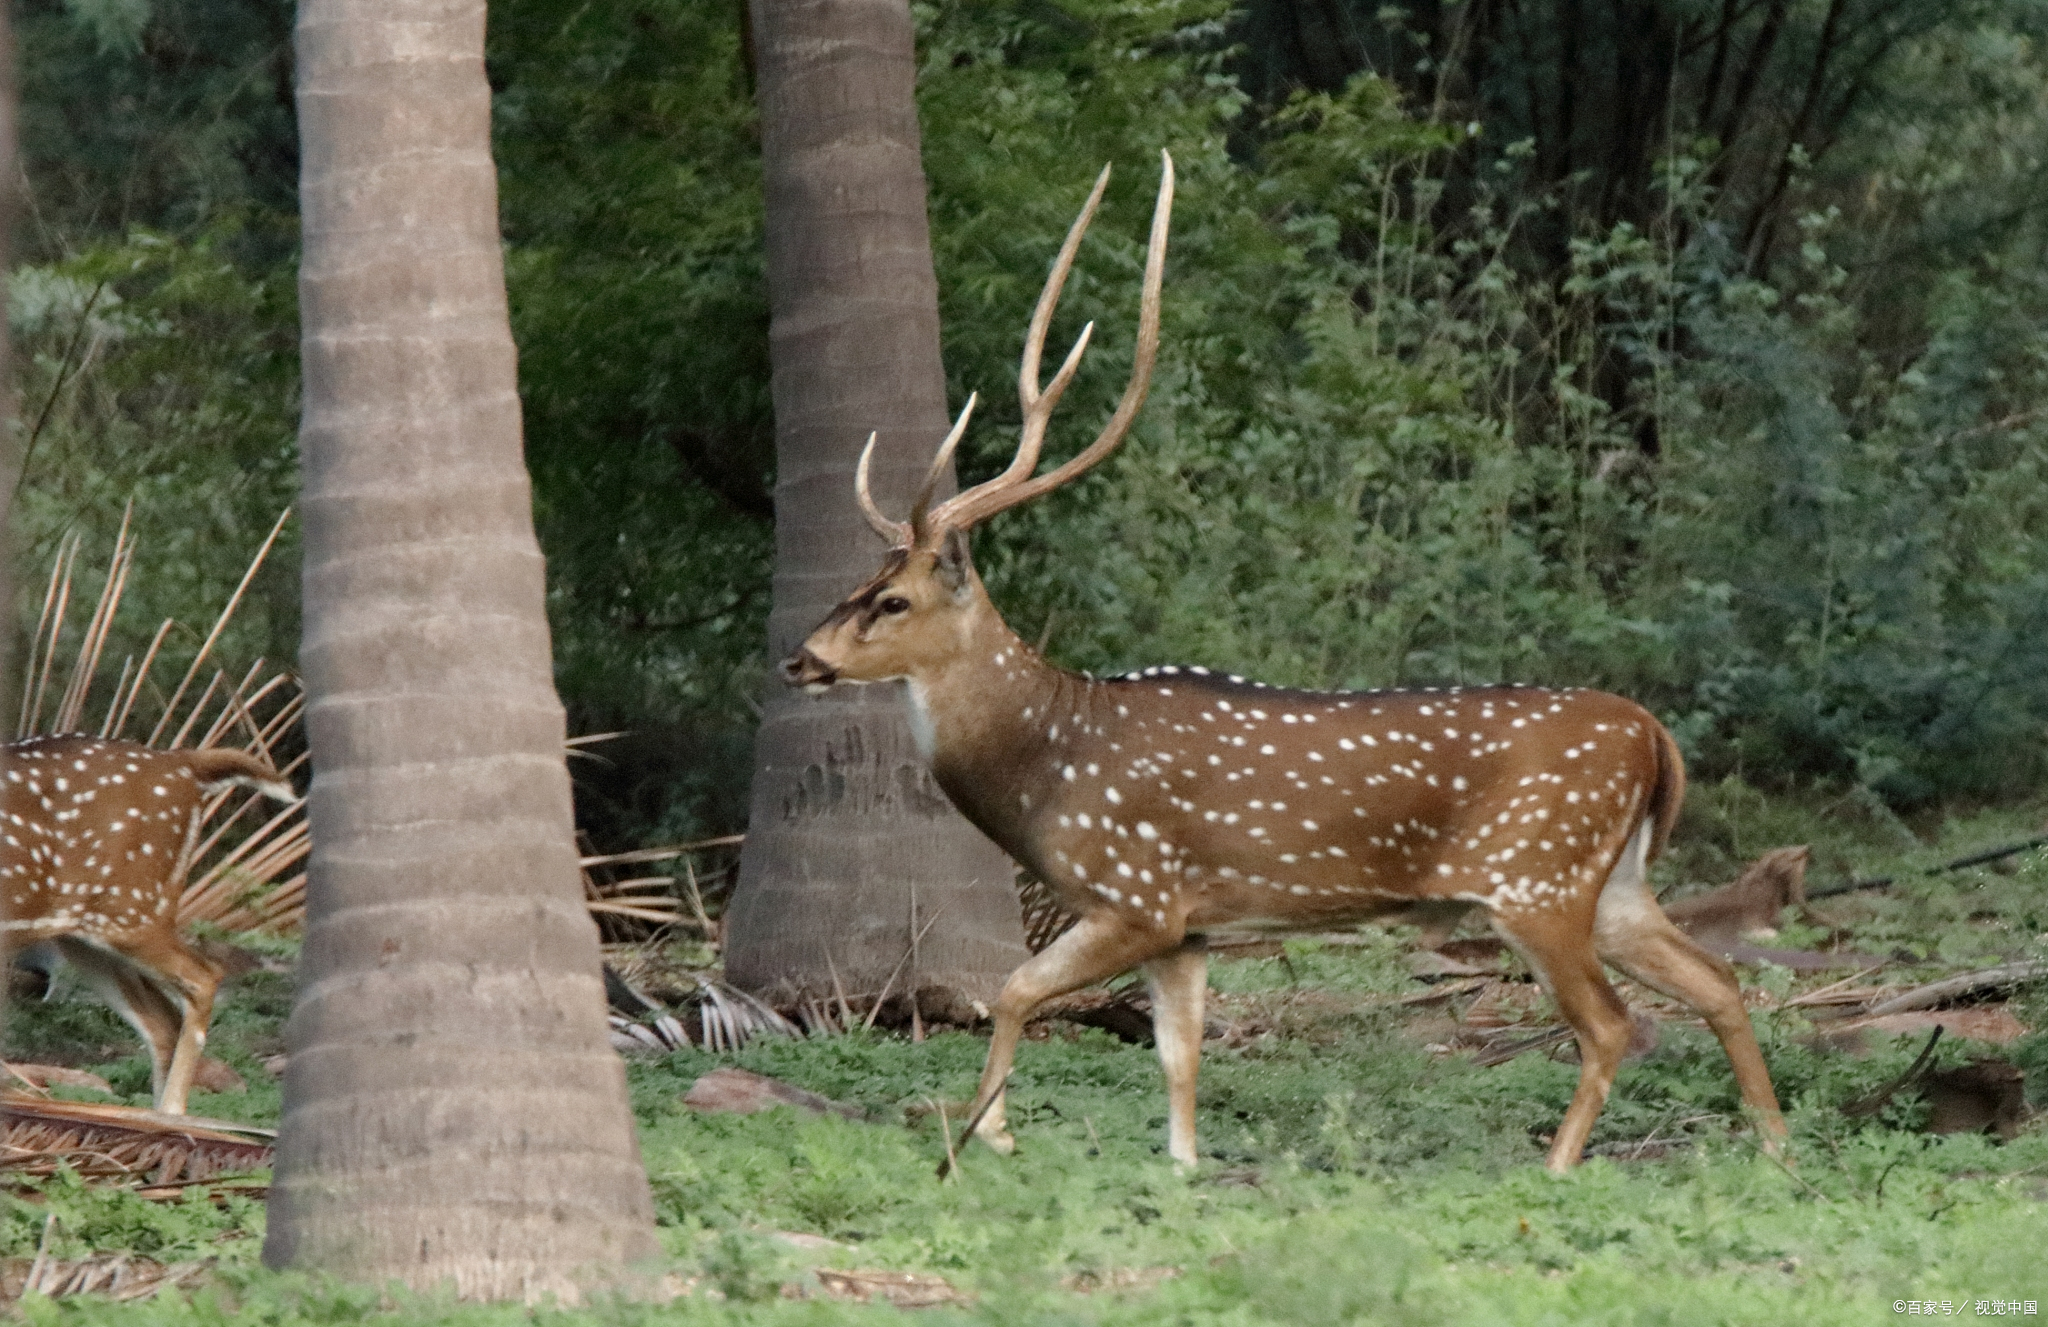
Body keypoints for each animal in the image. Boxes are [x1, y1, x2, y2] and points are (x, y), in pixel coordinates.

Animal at [1, 729, 296, 1114]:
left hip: (133, 910)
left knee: (203, 977)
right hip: (86, 936)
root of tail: (185, 762)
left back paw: (171, 1111)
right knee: (162, 1021)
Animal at [774, 152, 1785, 1171]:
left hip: (1538, 878)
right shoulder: (1188, 928)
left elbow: (1016, 990)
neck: (1047, 765)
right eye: (858, 582)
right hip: (1614, 882)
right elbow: (1179, 1059)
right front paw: (1182, 1166)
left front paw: (993, 1132)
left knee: (1613, 1022)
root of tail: (1655, 735)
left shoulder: (1135, 892)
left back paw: (1558, 1165)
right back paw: (1777, 1149)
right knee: (1718, 980)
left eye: (893, 600)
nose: (801, 659)